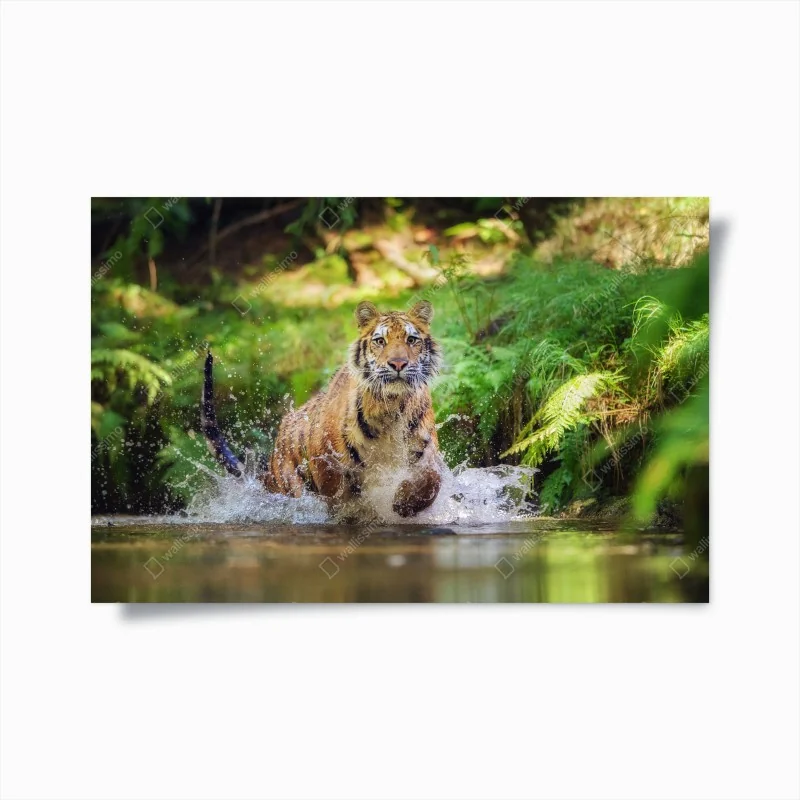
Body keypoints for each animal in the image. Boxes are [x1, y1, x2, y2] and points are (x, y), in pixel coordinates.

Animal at [201, 300, 444, 517]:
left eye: (411, 339)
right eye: (380, 341)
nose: (398, 364)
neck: (390, 407)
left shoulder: (426, 449)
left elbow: (432, 479)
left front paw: (404, 503)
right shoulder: (327, 462)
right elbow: (340, 497)